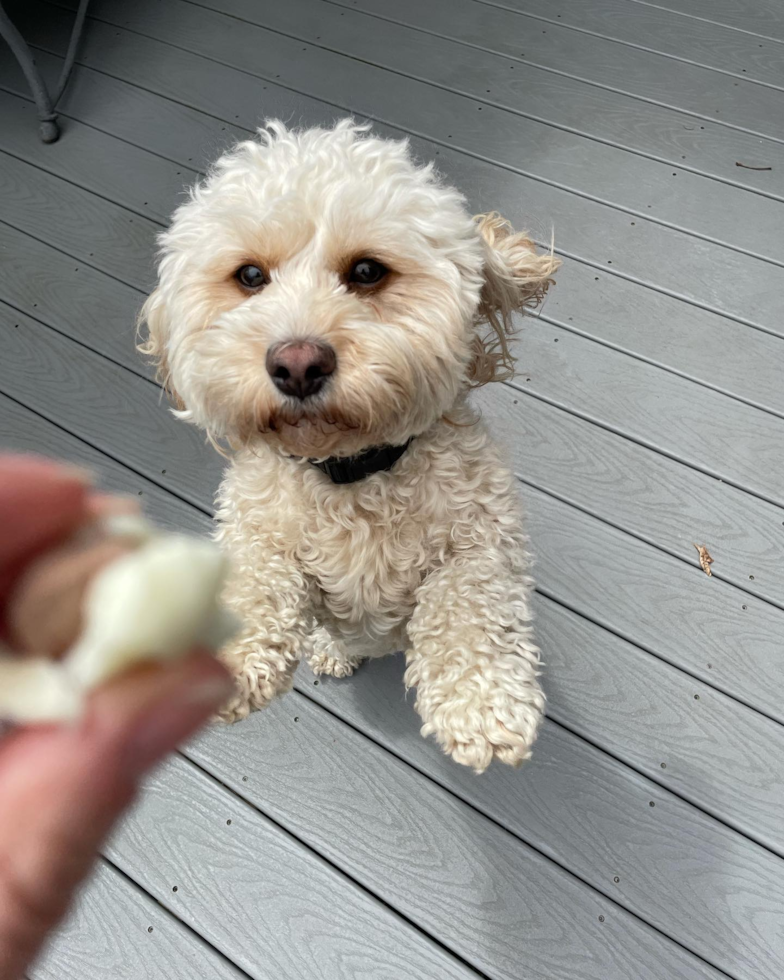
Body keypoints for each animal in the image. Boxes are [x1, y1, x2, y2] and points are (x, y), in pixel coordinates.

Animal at [139, 118, 556, 768]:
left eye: (366, 272)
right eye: (250, 276)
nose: (297, 364)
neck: (352, 474)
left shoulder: (484, 533)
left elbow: (470, 599)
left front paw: (482, 700)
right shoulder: (256, 529)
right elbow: (256, 578)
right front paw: (228, 659)